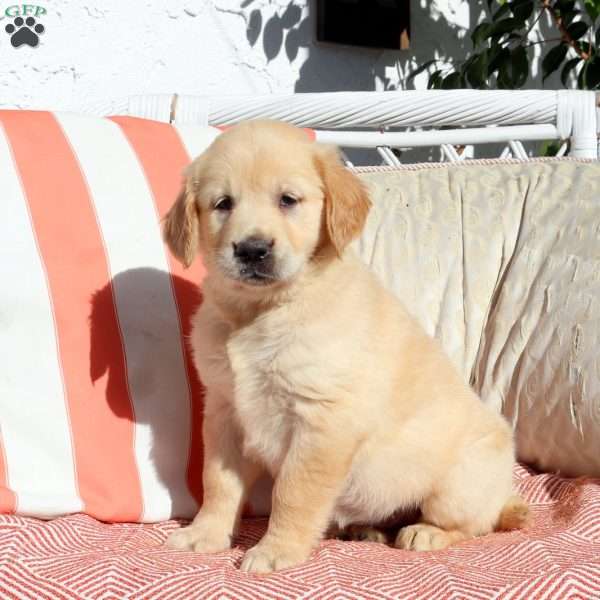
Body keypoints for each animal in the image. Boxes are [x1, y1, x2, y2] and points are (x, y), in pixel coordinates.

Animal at [162, 119, 528, 576]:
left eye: (288, 200)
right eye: (223, 204)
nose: (252, 249)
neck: (264, 310)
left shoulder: (323, 421)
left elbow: (293, 493)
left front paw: (276, 550)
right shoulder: (225, 411)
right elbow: (218, 482)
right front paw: (205, 533)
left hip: (459, 484)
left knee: (476, 524)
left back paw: (425, 532)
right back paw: (367, 529)